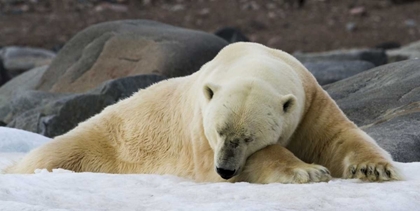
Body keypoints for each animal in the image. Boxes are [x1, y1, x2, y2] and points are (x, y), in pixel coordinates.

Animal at [5, 42, 400, 183]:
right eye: (218, 132)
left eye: (248, 137)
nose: (225, 170)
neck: (253, 59)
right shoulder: (197, 128)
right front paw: (307, 170)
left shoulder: (309, 99)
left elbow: (337, 136)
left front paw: (375, 168)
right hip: (90, 145)